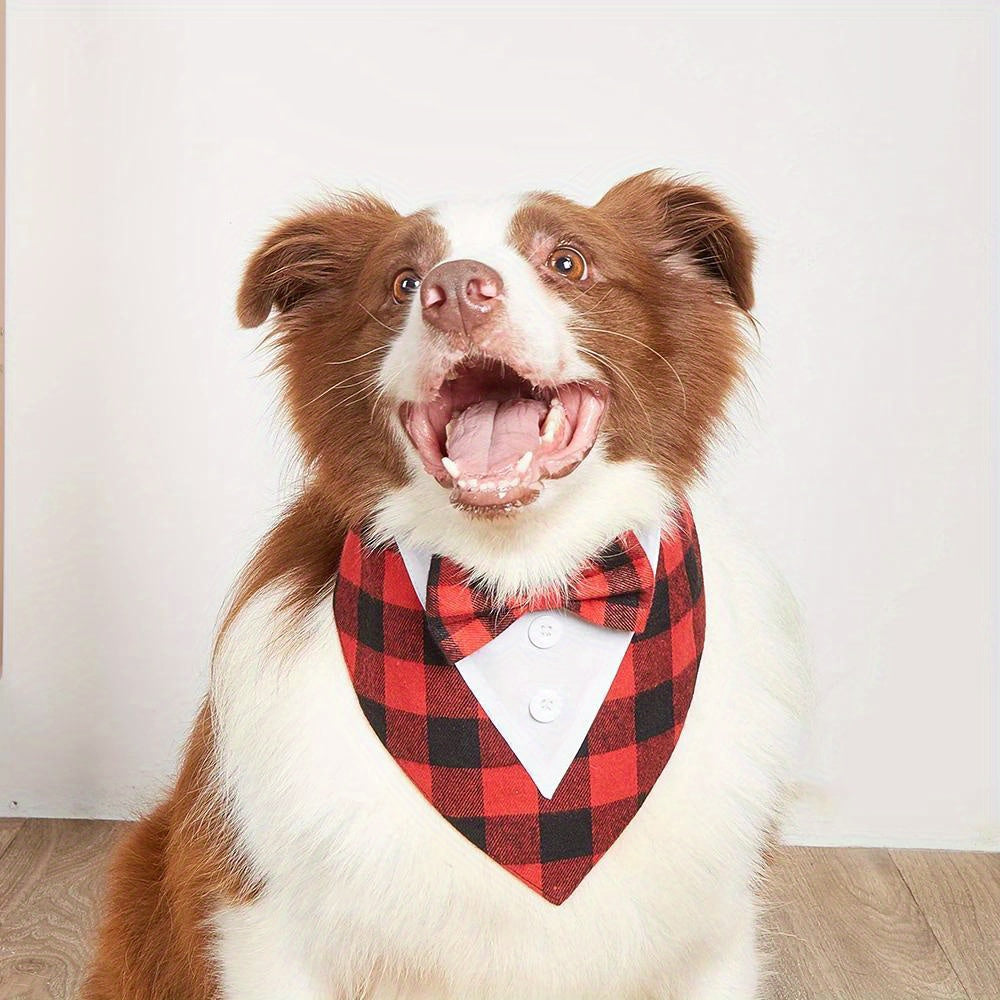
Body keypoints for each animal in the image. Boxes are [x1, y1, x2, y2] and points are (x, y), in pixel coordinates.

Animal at [82, 172, 808, 1000]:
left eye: (566, 261)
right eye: (403, 281)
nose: (456, 291)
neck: (523, 587)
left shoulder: (711, 938)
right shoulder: (264, 924)